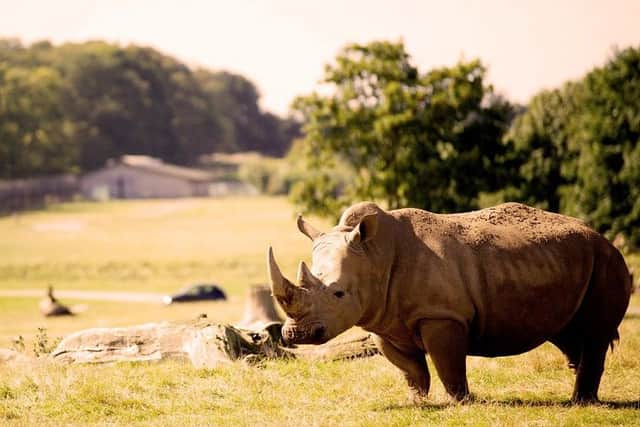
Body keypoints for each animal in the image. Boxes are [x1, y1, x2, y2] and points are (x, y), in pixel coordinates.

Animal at [267, 202, 632, 403]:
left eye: (339, 294)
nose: (295, 335)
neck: (375, 255)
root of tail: (604, 238)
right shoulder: (384, 321)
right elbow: (411, 369)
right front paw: (417, 401)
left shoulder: (442, 316)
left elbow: (448, 363)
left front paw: (460, 401)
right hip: (569, 262)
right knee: (567, 331)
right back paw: (577, 383)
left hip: (607, 261)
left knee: (595, 332)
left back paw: (580, 402)